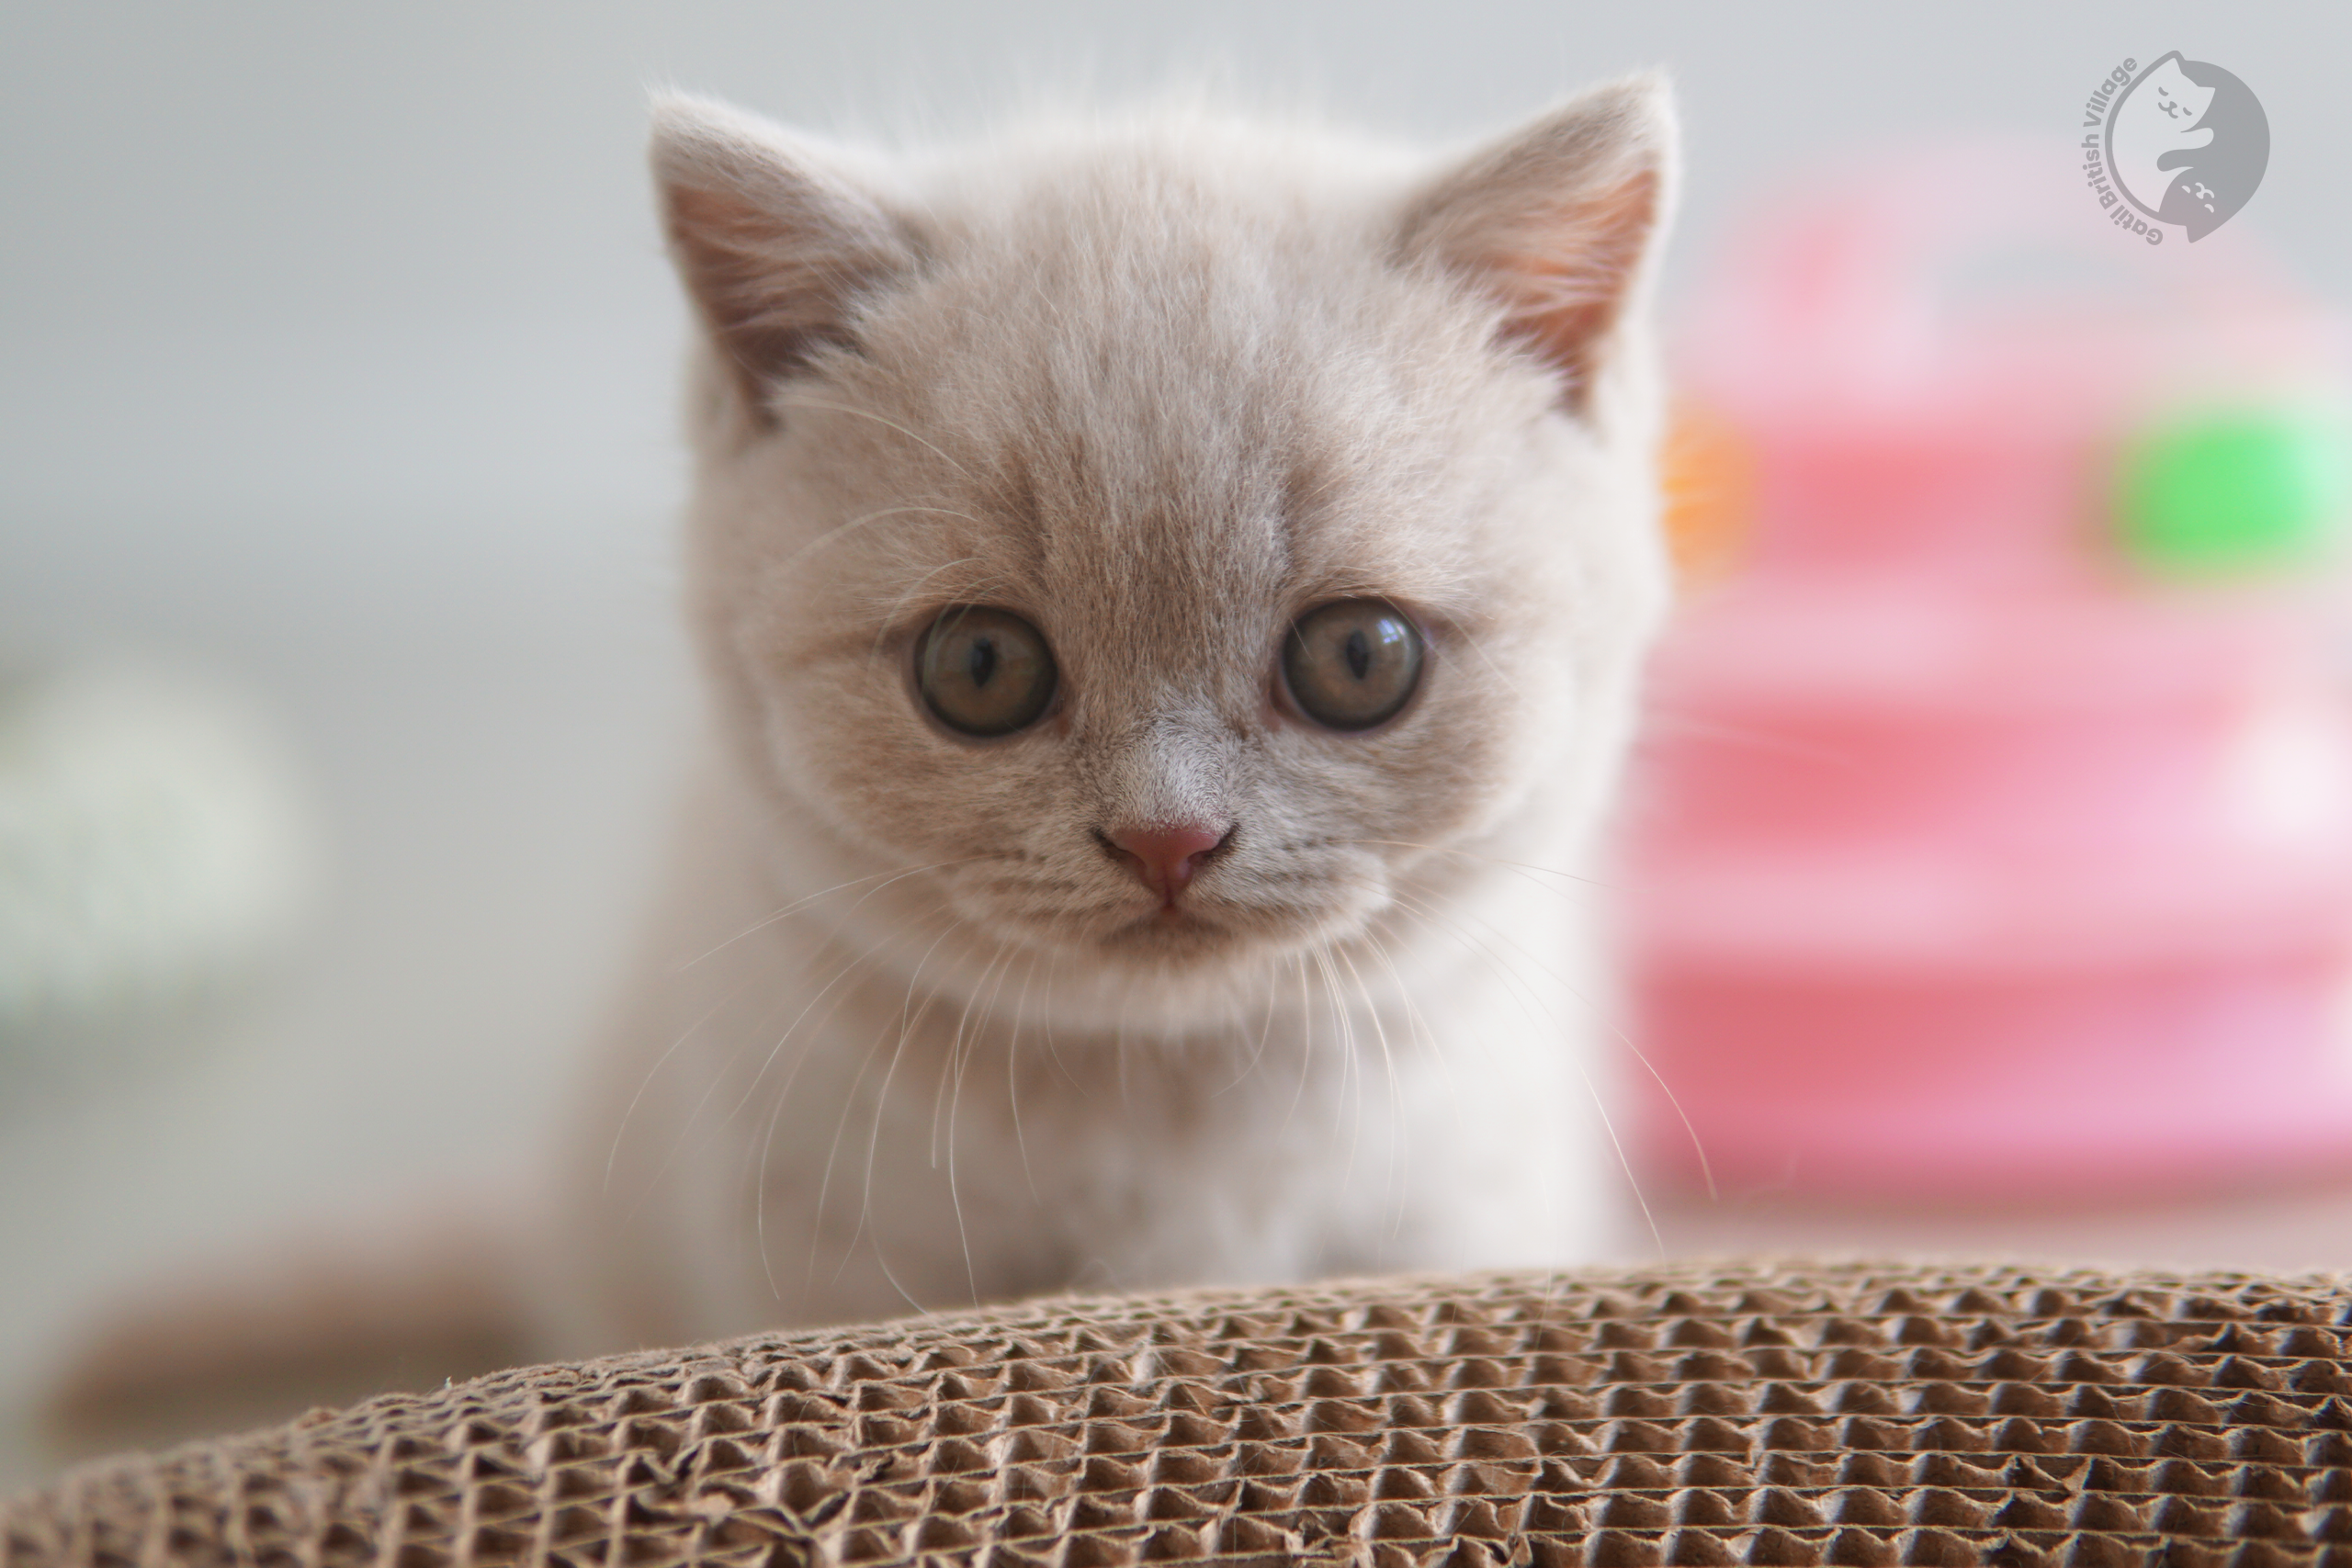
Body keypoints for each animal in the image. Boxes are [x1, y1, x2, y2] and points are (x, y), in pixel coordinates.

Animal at [543, 80, 1683, 1354]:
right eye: (980, 666)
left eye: (1358, 658)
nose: (1167, 837)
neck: (1169, 1104)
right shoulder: (819, 1262)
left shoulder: (1458, 1224)